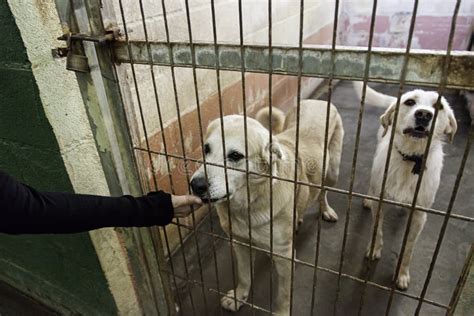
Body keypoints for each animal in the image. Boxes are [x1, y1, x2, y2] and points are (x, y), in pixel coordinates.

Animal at [190, 100, 344, 314]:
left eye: (235, 156)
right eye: (206, 149)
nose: (195, 185)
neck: (249, 205)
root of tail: (319, 101)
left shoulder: (283, 256)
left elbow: (283, 295)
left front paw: (281, 313)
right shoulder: (240, 244)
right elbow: (244, 276)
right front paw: (239, 297)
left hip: (332, 172)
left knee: (323, 192)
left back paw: (326, 210)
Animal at [354, 82, 458, 292]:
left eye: (439, 106)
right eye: (410, 102)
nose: (424, 114)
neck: (410, 159)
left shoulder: (419, 216)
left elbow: (408, 249)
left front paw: (402, 274)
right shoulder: (381, 202)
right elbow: (377, 230)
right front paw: (374, 248)